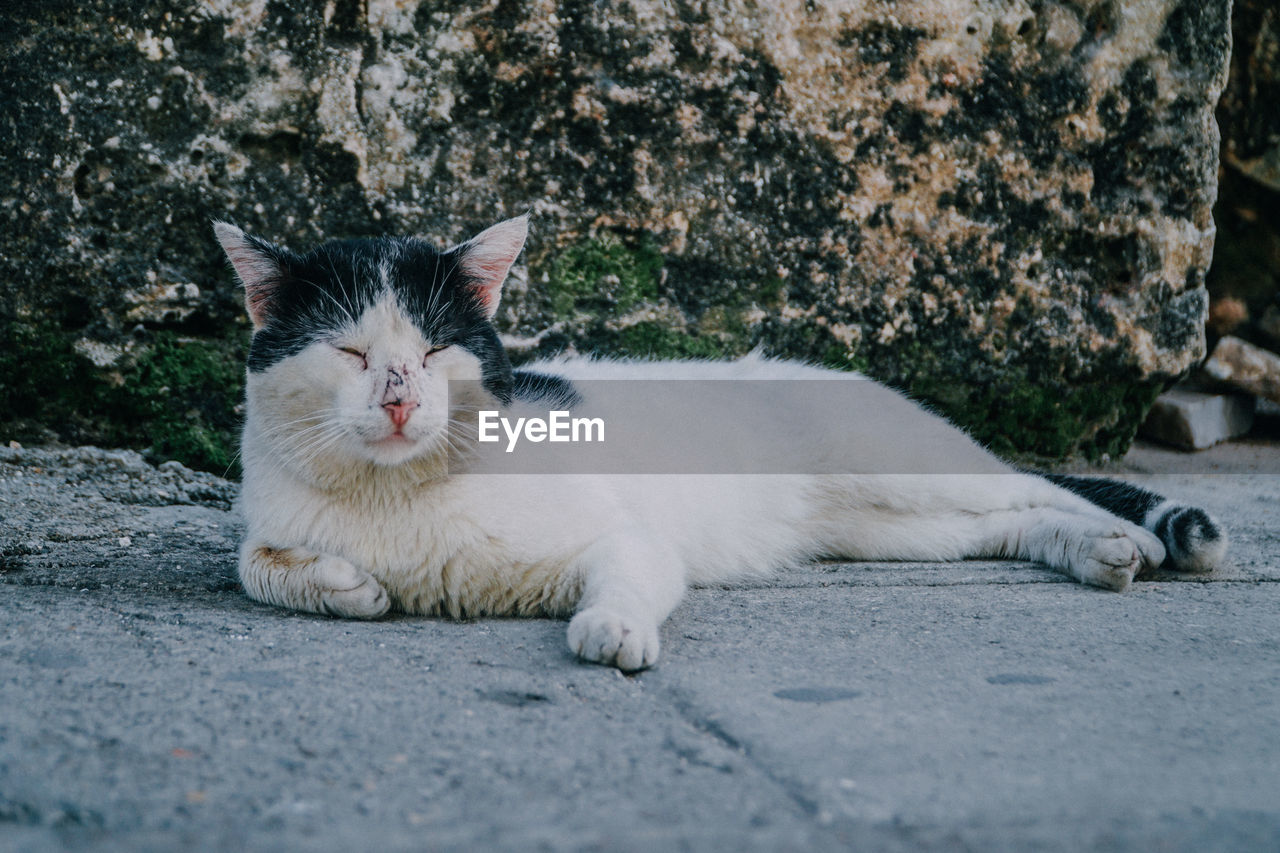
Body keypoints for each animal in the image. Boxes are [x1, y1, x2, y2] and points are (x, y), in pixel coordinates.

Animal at [215, 213, 1223, 671]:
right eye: (351, 352)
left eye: (431, 350)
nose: (397, 399)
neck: (397, 498)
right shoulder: (266, 518)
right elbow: (254, 562)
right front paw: (342, 582)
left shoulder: (627, 535)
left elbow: (625, 578)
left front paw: (612, 627)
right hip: (893, 527)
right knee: (1005, 521)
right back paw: (1094, 553)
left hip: (909, 468)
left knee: (1044, 486)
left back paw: (1123, 540)